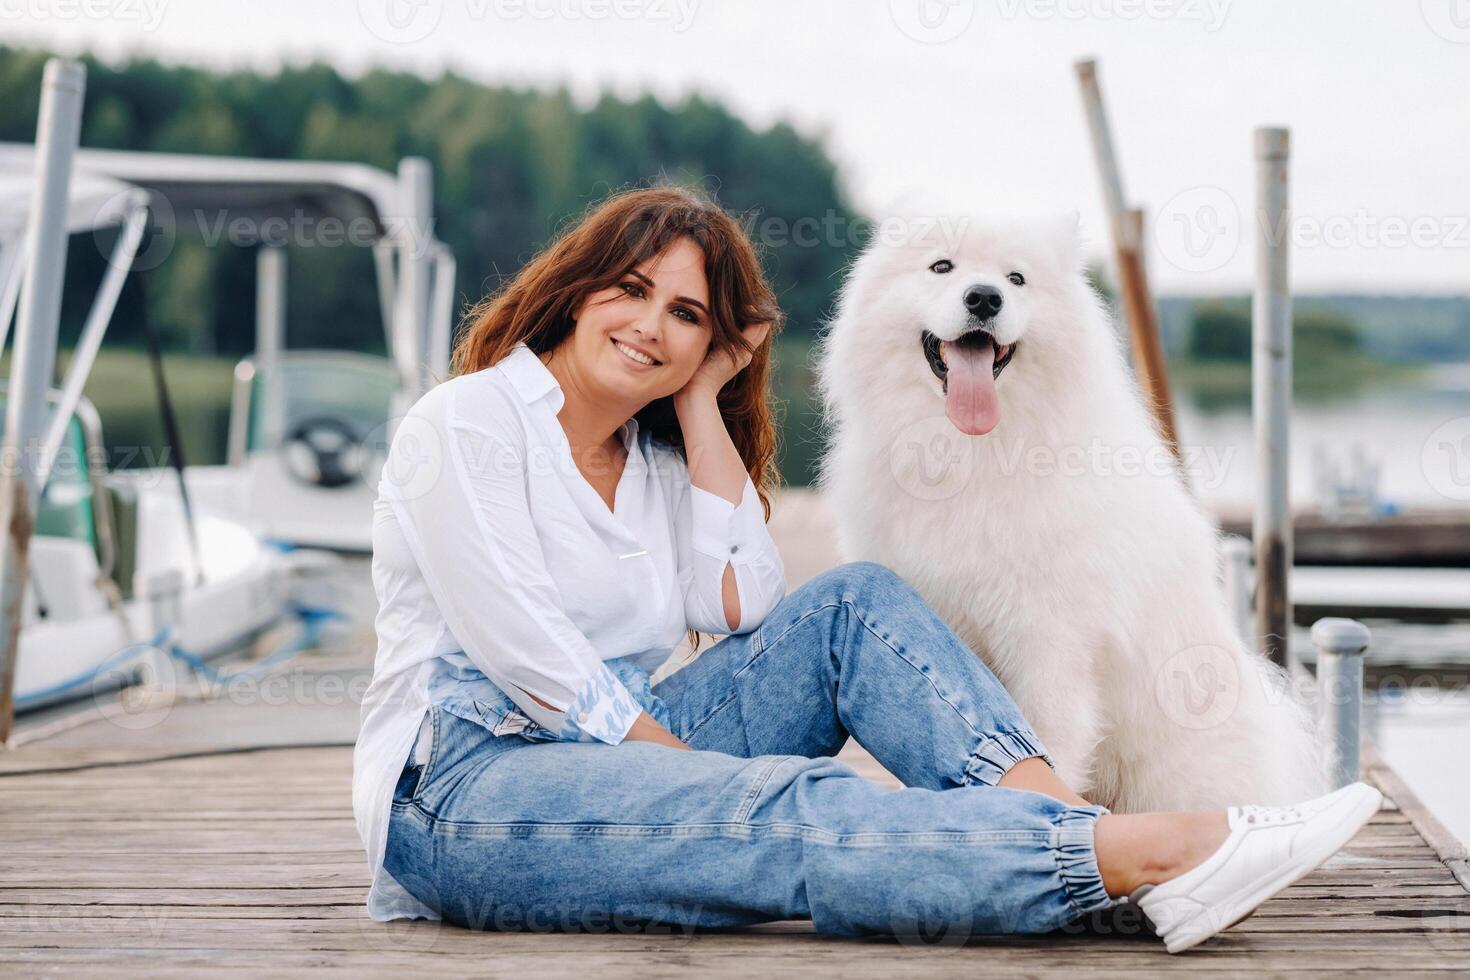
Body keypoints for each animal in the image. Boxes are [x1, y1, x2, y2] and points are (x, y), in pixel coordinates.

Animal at [811, 214, 1328, 811]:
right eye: (942, 266)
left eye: (1016, 279)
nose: (984, 297)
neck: (967, 455)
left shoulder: (1050, 641)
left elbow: (1047, 744)